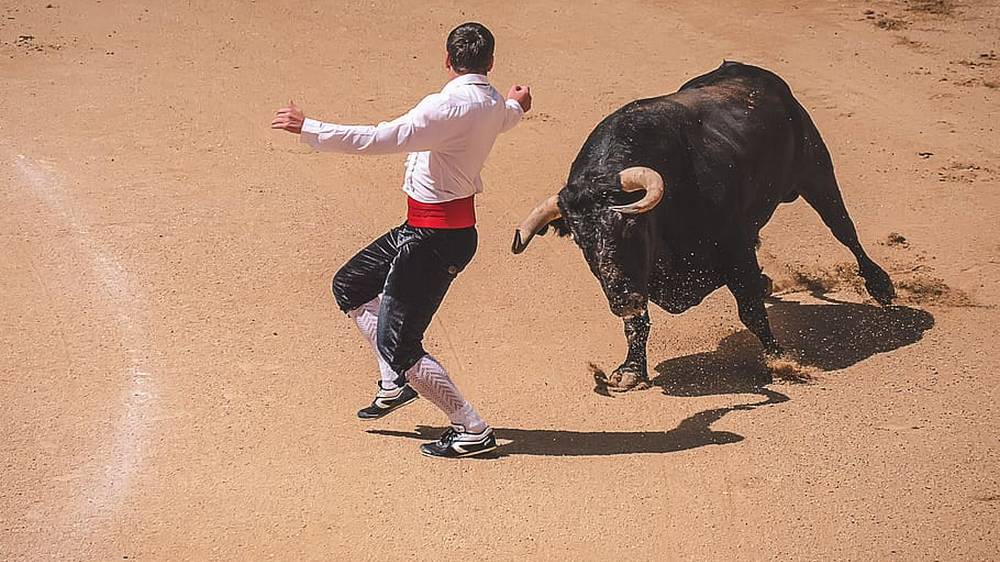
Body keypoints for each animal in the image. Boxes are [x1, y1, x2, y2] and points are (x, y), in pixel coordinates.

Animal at [512, 61, 896, 390]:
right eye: (580, 240)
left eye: (630, 226)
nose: (622, 299)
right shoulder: (640, 280)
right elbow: (637, 324)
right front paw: (631, 370)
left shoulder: (734, 249)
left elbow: (751, 310)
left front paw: (779, 358)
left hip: (816, 172)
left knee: (844, 230)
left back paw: (881, 287)